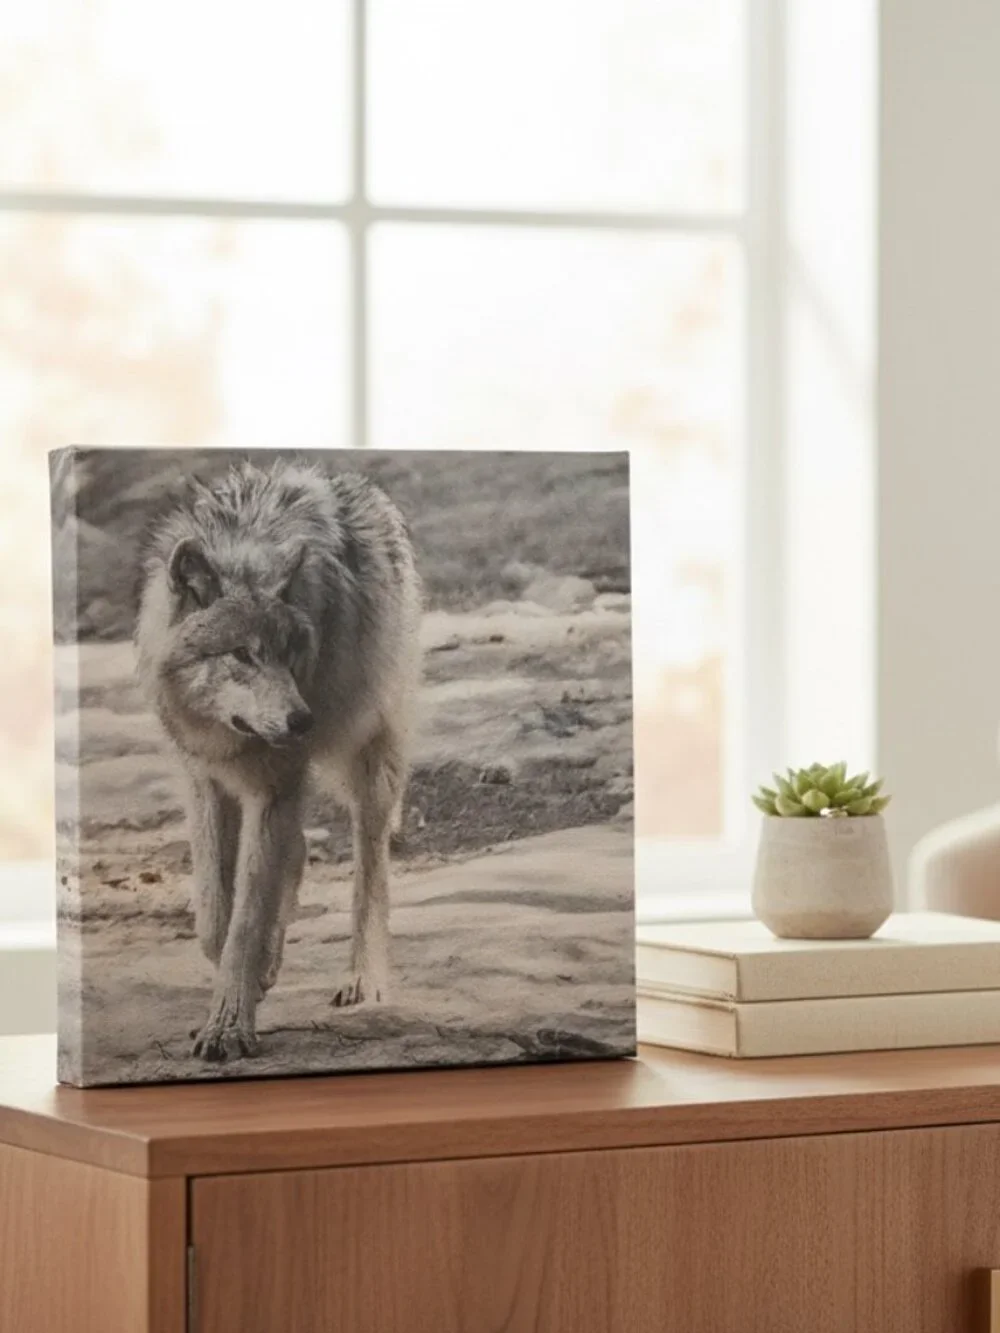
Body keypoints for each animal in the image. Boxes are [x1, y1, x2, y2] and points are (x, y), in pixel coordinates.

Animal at [136, 458, 422, 1062]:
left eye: (291, 654)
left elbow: (246, 919)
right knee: (297, 853)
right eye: (243, 654)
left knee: (371, 869)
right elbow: (216, 914)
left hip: (371, 763)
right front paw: (244, 987)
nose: (301, 721)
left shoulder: (275, 786)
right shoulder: (205, 780)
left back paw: (363, 980)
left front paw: (228, 1026)